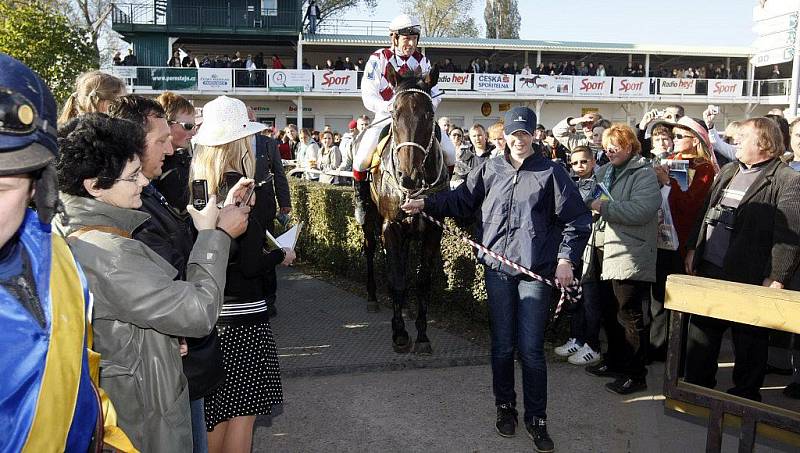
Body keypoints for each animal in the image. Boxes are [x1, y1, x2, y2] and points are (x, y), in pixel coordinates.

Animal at [364, 64, 450, 354]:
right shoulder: (391, 226)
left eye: (429, 114)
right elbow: (396, 279)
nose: (407, 176)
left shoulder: (433, 229)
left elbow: (423, 281)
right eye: (394, 112)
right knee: (370, 250)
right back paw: (372, 297)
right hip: (370, 218)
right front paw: (400, 333)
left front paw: (422, 334)